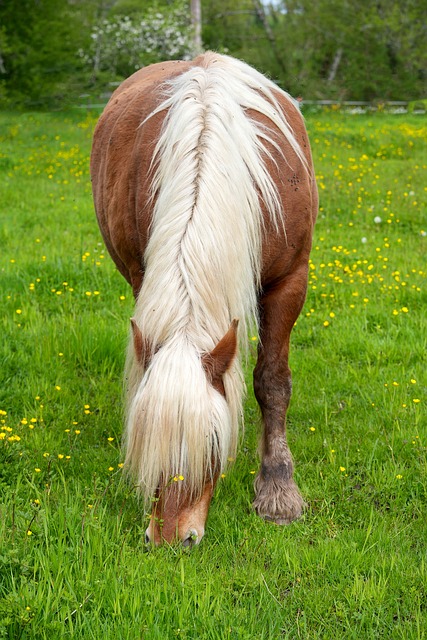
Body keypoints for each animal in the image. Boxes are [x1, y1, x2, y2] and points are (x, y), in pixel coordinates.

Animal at [90, 52, 318, 548]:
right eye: (145, 442)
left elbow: (273, 382)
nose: (172, 539)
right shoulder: (142, 275)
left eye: (213, 445)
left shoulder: (290, 280)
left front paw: (278, 489)